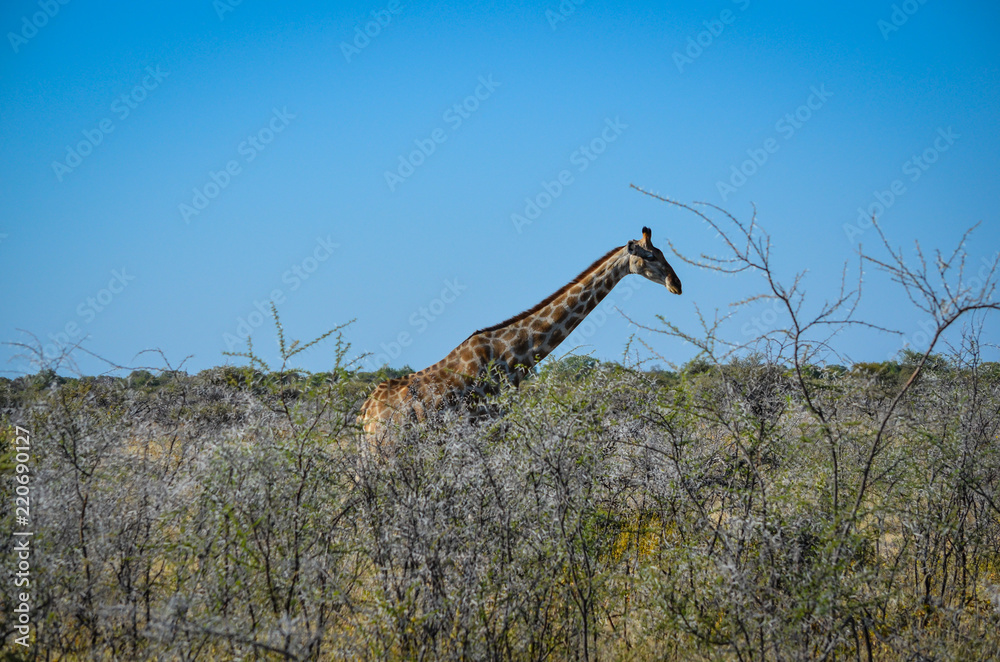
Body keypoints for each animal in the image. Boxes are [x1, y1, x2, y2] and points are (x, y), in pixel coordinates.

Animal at [359, 227, 681, 444]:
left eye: (663, 253)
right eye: (650, 255)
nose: (676, 284)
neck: (510, 356)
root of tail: (365, 415)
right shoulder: (486, 426)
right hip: (389, 449)